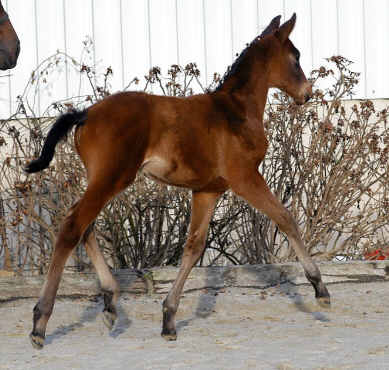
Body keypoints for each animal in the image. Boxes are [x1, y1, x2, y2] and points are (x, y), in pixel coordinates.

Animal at [25, 14, 328, 350]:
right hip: (112, 176)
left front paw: (168, 318)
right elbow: (285, 218)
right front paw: (320, 289)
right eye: (295, 57)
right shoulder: (245, 177)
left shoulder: (208, 190)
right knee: (72, 226)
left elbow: (193, 247)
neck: (236, 111)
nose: (306, 93)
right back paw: (40, 322)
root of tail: (85, 113)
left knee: (85, 226)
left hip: (103, 179)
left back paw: (110, 302)